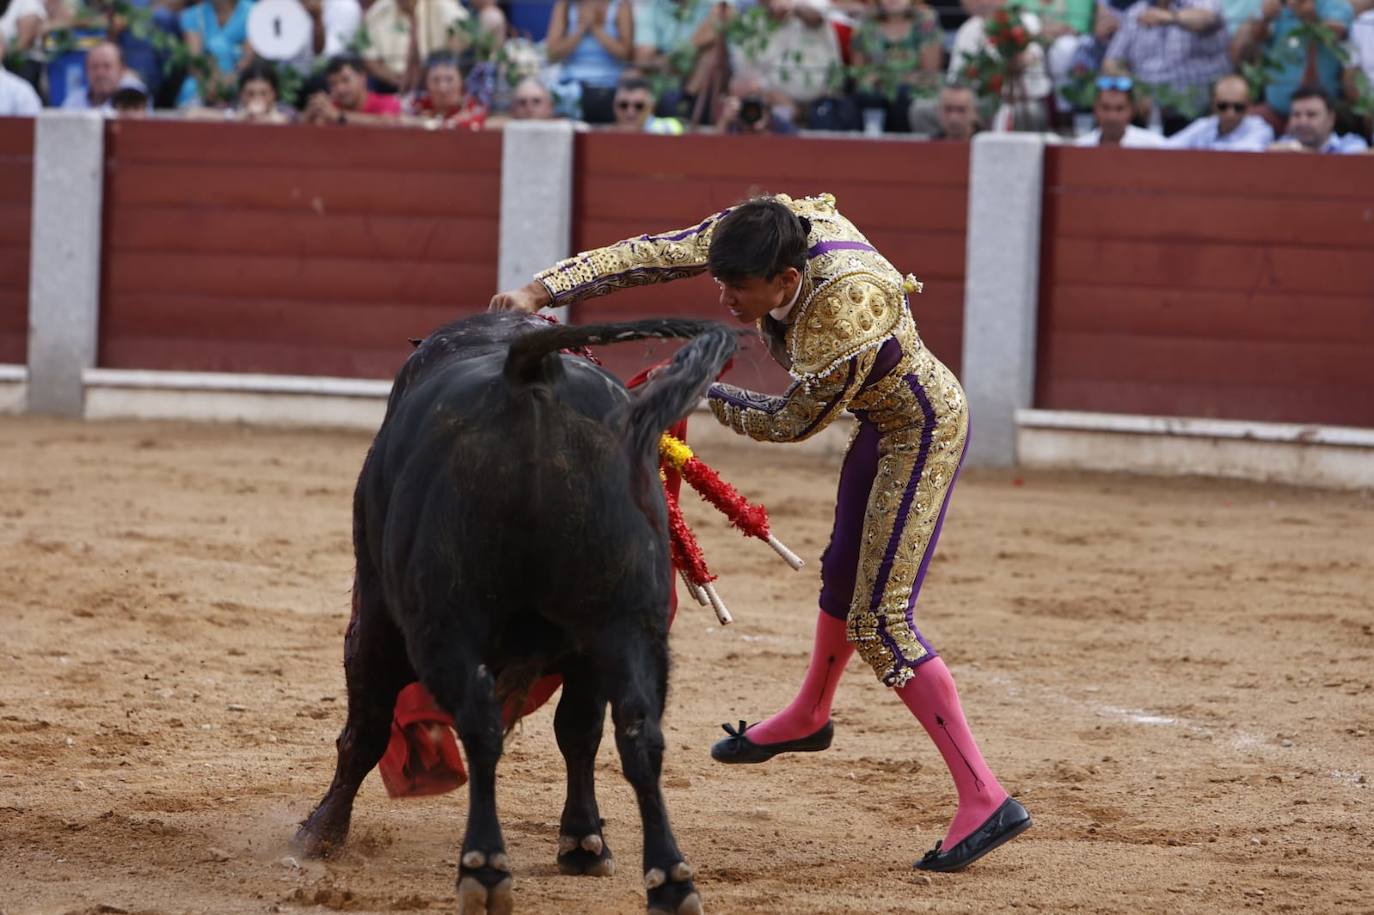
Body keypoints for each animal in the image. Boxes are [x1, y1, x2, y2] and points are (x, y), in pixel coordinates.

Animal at [294, 315, 736, 912]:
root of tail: (531, 370)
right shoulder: (586, 648)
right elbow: (579, 732)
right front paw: (584, 842)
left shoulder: (376, 618)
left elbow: (365, 730)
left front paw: (320, 834)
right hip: (627, 622)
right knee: (640, 733)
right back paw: (670, 880)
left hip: (443, 620)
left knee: (476, 725)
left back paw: (483, 868)